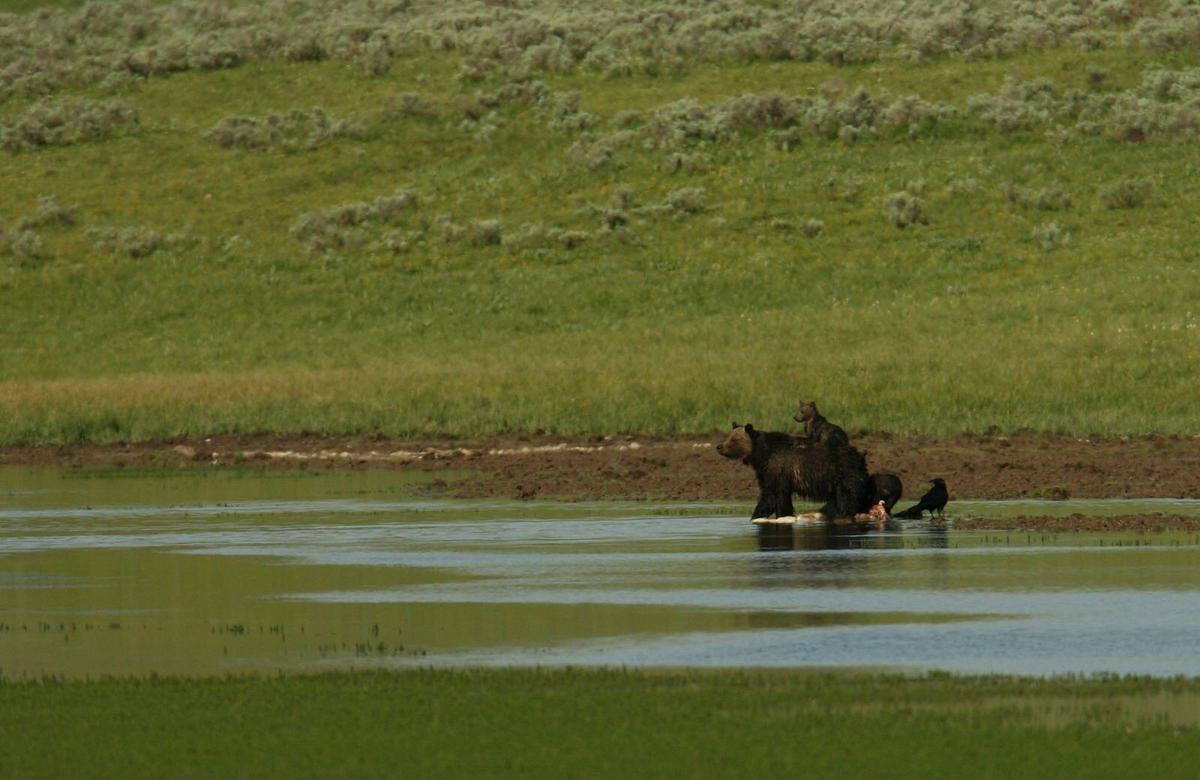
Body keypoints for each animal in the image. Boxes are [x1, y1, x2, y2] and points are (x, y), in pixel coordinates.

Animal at [716, 422, 870, 520]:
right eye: (729, 436)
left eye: (734, 439)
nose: (719, 446)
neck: (760, 455)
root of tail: (860, 455)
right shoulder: (766, 472)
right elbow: (773, 495)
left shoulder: (778, 469)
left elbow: (773, 496)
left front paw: (765, 514)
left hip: (842, 473)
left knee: (847, 497)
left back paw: (844, 513)